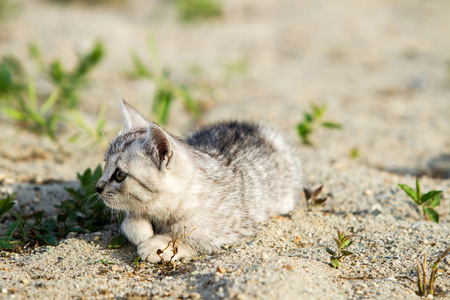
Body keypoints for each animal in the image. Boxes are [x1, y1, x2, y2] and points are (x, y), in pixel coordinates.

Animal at [95, 101, 302, 262]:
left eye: (119, 174)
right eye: (105, 164)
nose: (97, 187)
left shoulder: (226, 231)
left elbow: (187, 238)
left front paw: (156, 244)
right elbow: (131, 220)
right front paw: (141, 230)